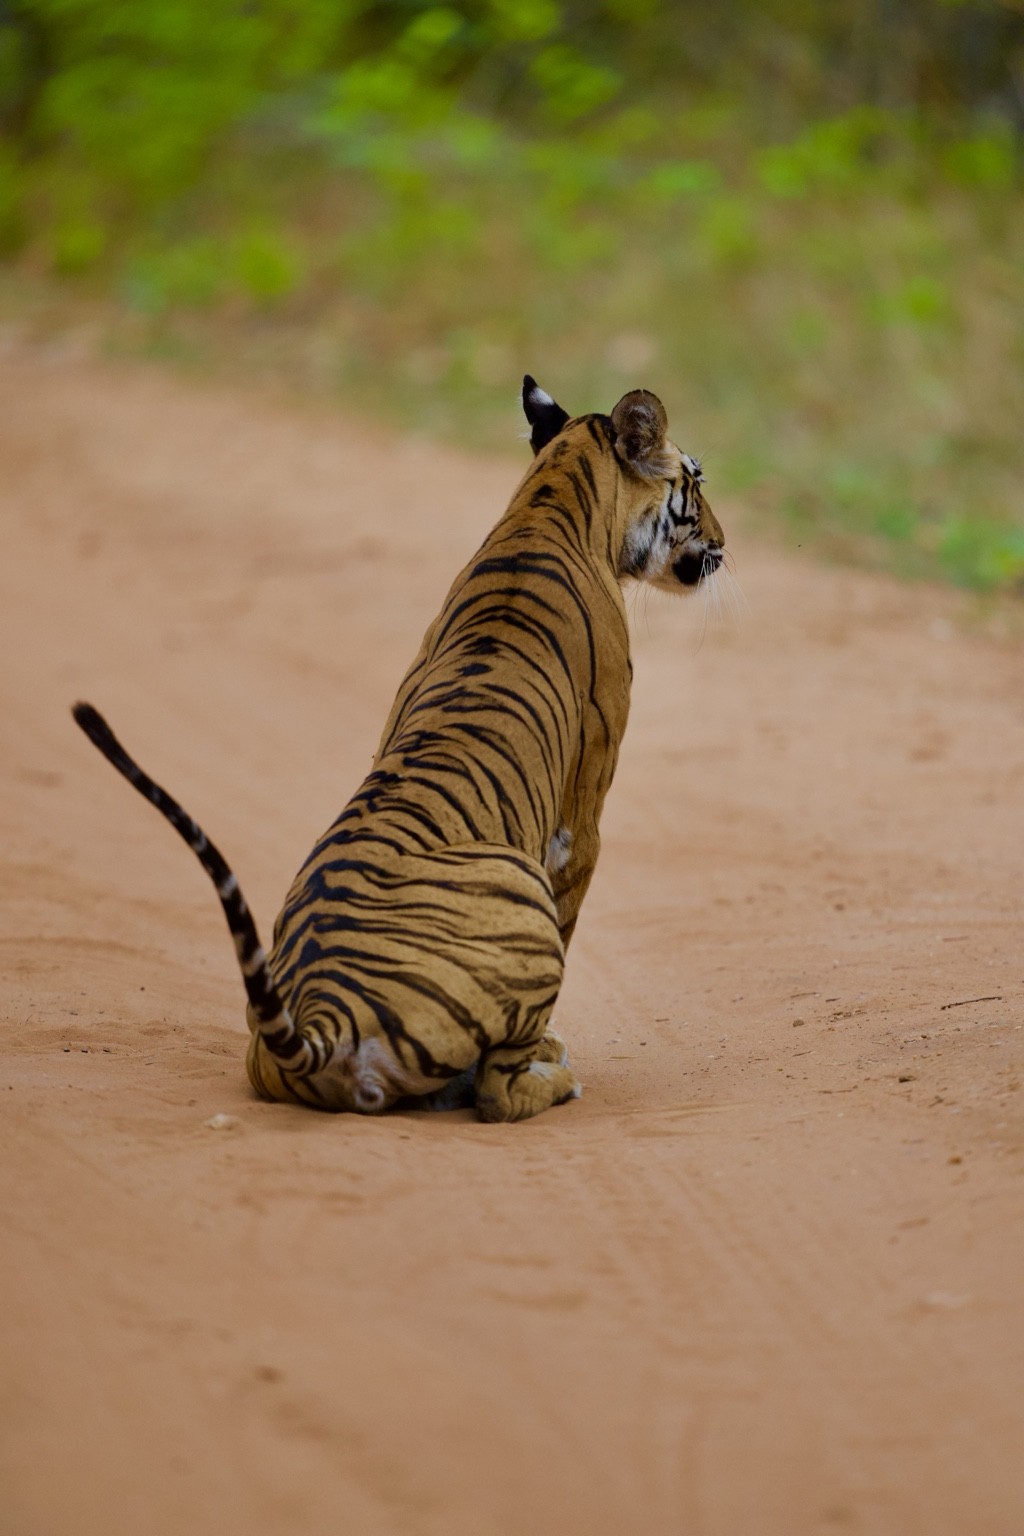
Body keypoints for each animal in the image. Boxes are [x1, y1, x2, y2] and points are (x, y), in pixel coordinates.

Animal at [72, 378, 725, 1122]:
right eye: (696, 481)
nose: (723, 545)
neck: (552, 496)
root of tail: (323, 1016)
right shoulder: (581, 818)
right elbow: (571, 919)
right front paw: (551, 1045)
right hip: (518, 882)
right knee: (499, 1094)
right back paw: (553, 1078)